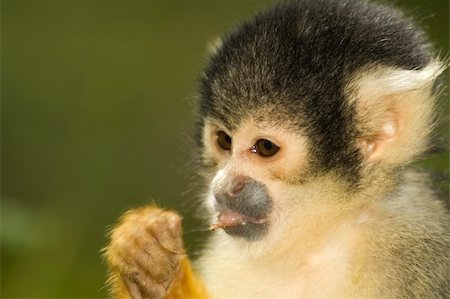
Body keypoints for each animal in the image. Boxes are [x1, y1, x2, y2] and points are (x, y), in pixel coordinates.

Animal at [103, 0, 450, 298]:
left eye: (265, 147)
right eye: (224, 141)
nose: (224, 187)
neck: (317, 239)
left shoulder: (411, 248)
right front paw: (151, 265)